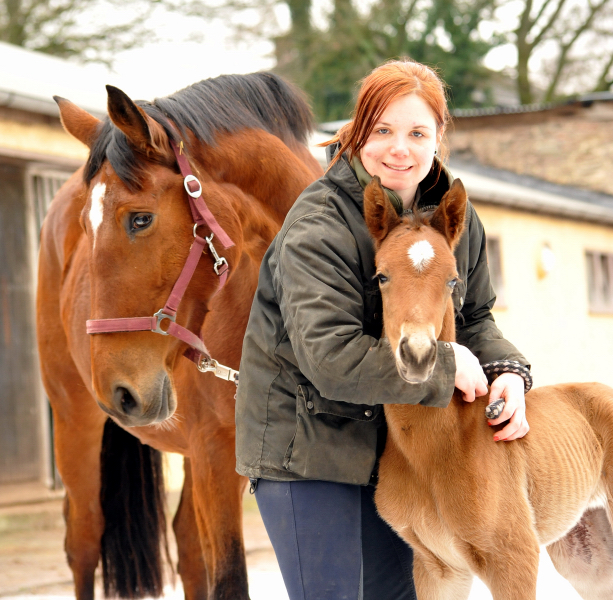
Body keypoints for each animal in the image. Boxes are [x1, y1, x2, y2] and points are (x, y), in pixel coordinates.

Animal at [38, 71, 322, 600]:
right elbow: (230, 579)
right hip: (75, 421)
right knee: (83, 540)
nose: (119, 393)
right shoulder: (215, 452)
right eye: (87, 228)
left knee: (186, 544)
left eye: (140, 219)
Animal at [360, 177, 612, 600]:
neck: (433, 452)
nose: (418, 354)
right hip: (586, 550)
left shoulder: (513, 558)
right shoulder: (437, 569)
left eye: (452, 280)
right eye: (381, 276)